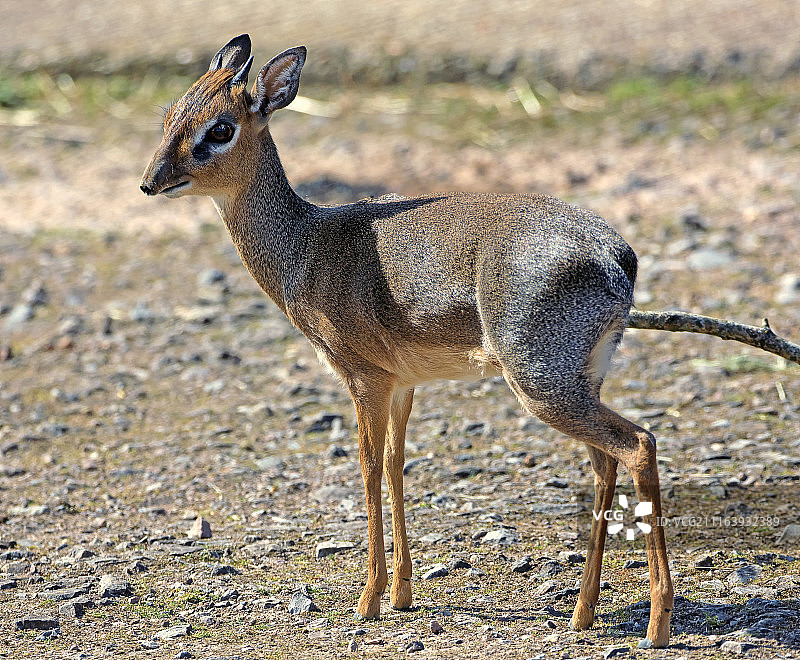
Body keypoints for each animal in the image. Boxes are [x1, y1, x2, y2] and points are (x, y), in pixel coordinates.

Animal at [141, 34, 673, 648]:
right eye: (170, 113)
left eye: (221, 128)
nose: (151, 180)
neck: (307, 248)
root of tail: (617, 254)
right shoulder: (403, 384)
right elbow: (397, 464)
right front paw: (399, 593)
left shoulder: (362, 378)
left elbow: (369, 467)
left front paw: (367, 600)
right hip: (582, 378)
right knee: (606, 461)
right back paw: (583, 611)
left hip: (540, 383)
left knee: (639, 444)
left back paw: (658, 621)